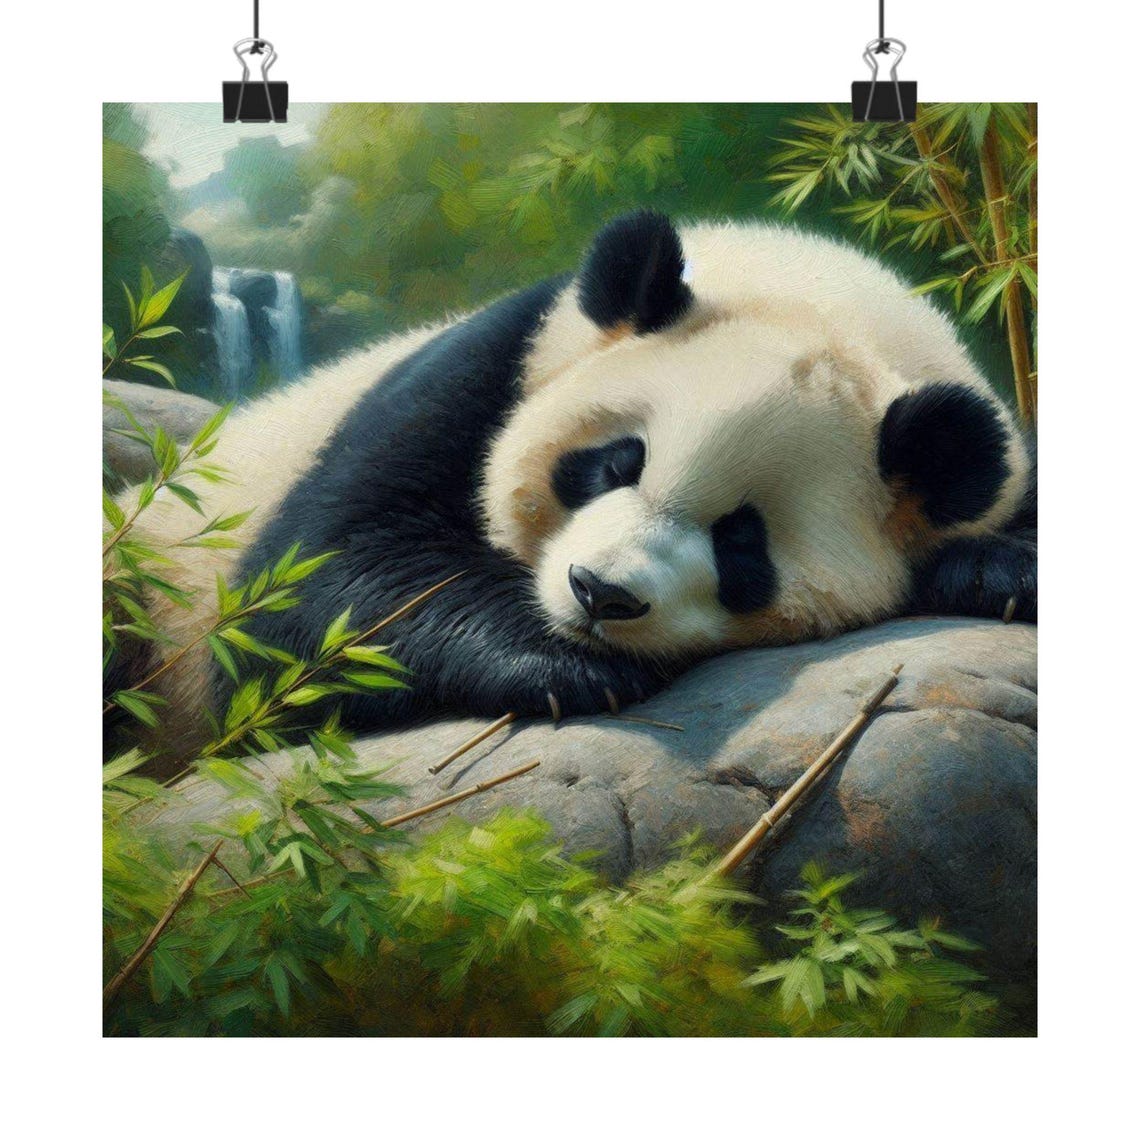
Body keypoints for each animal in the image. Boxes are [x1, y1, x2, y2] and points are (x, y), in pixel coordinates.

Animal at [129, 210, 1036, 750]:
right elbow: (317, 585)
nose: (601, 594)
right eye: (612, 463)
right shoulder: (489, 363)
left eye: (742, 541)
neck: (815, 294)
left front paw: (994, 570)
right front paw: (558, 665)